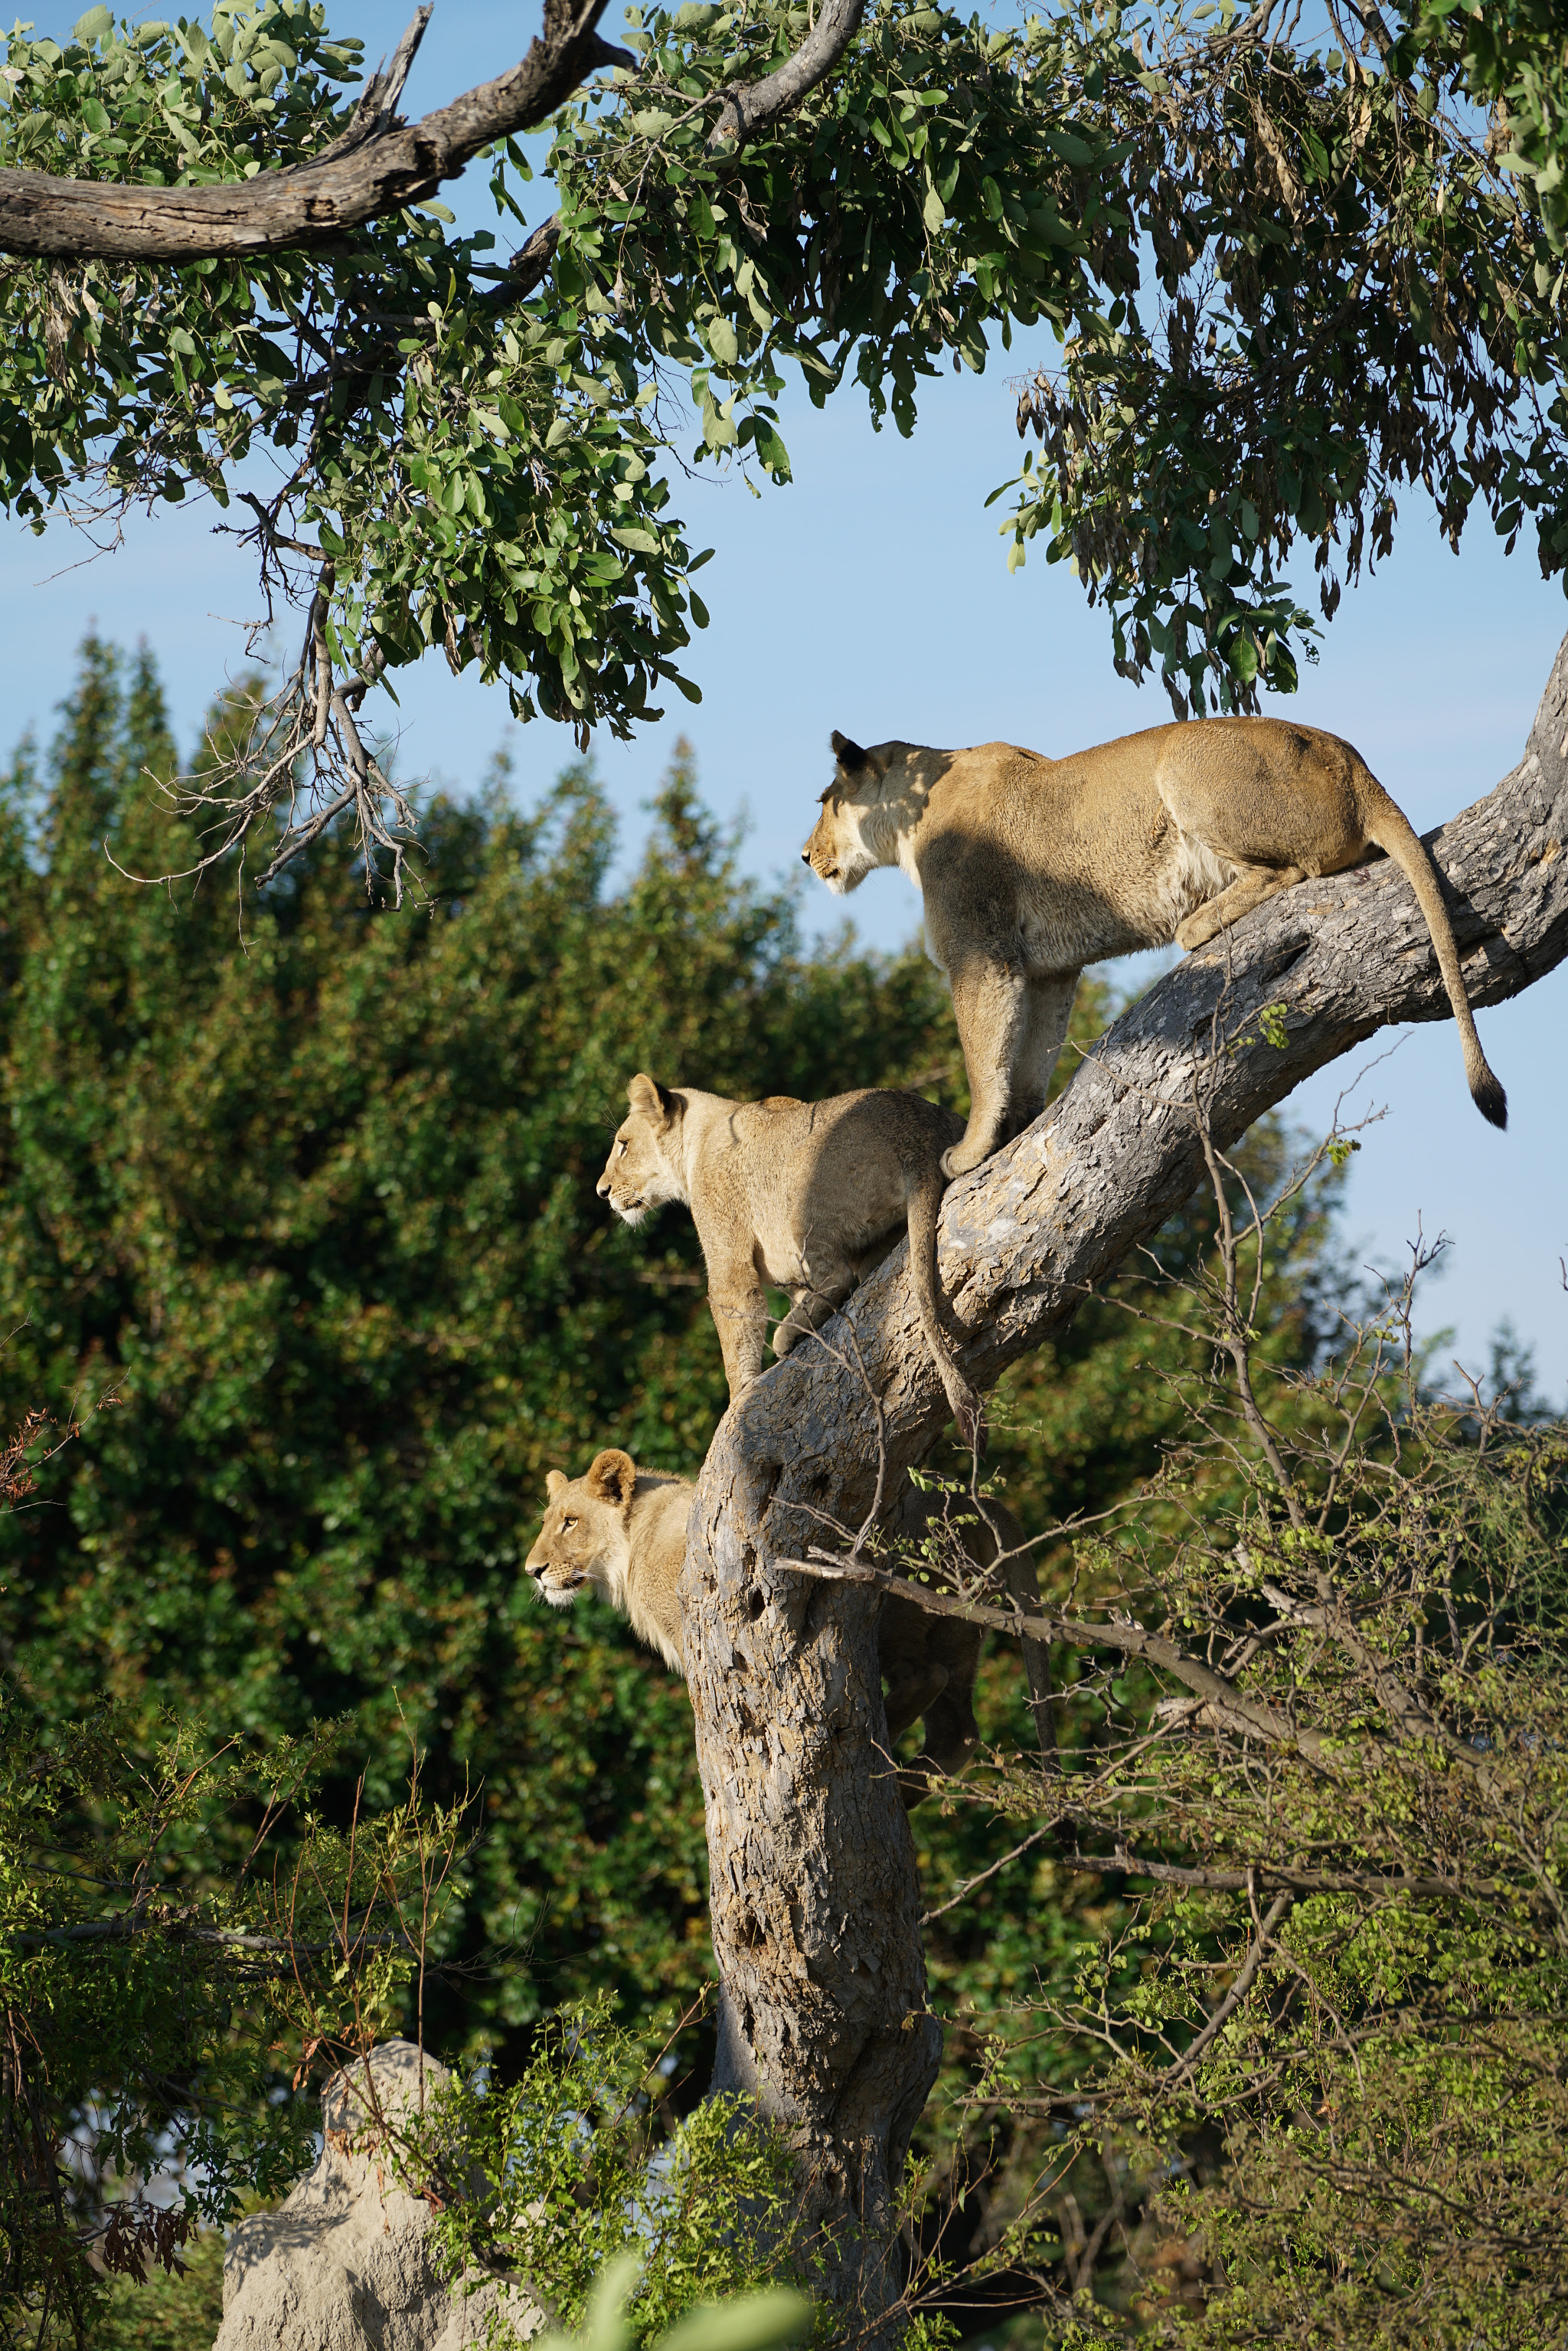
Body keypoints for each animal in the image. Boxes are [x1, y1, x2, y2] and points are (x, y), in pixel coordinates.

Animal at [526, 1448, 1029, 1796]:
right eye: (549, 1521)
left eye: (571, 1522)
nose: (532, 1570)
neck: (630, 1547)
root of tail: (978, 1502)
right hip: (961, 1634)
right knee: (960, 1731)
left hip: (895, 1608)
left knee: (928, 1677)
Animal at [596, 1081, 982, 1448]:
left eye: (624, 1145)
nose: (602, 1192)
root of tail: (918, 1133)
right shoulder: (790, 1278)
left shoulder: (727, 1249)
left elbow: (735, 1321)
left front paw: (736, 1404)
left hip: (800, 1184)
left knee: (839, 1277)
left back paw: (786, 1337)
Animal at [804, 714, 1504, 1176]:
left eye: (824, 800)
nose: (806, 855)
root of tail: (1355, 762)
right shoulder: (1046, 970)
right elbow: (1029, 1054)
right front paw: (1018, 1129)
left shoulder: (981, 951)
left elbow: (983, 1056)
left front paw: (970, 1150)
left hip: (1186, 760)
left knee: (1291, 870)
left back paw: (1193, 925)